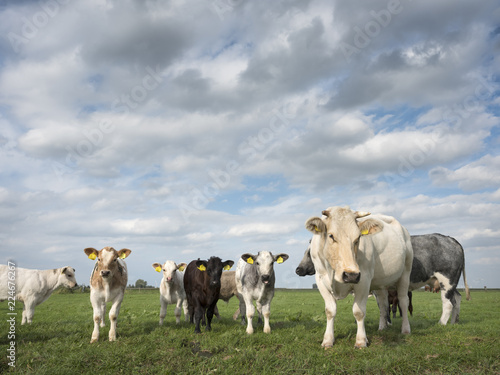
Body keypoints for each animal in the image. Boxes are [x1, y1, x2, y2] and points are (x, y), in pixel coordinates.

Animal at [304, 207, 414, 348]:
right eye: (331, 236)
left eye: (358, 238)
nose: (351, 275)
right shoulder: (320, 279)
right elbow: (330, 311)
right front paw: (328, 340)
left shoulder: (364, 279)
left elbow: (359, 312)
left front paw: (361, 340)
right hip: (380, 283)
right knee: (383, 303)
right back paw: (382, 327)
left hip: (405, 272)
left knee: (403, 301)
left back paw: (405, 329)